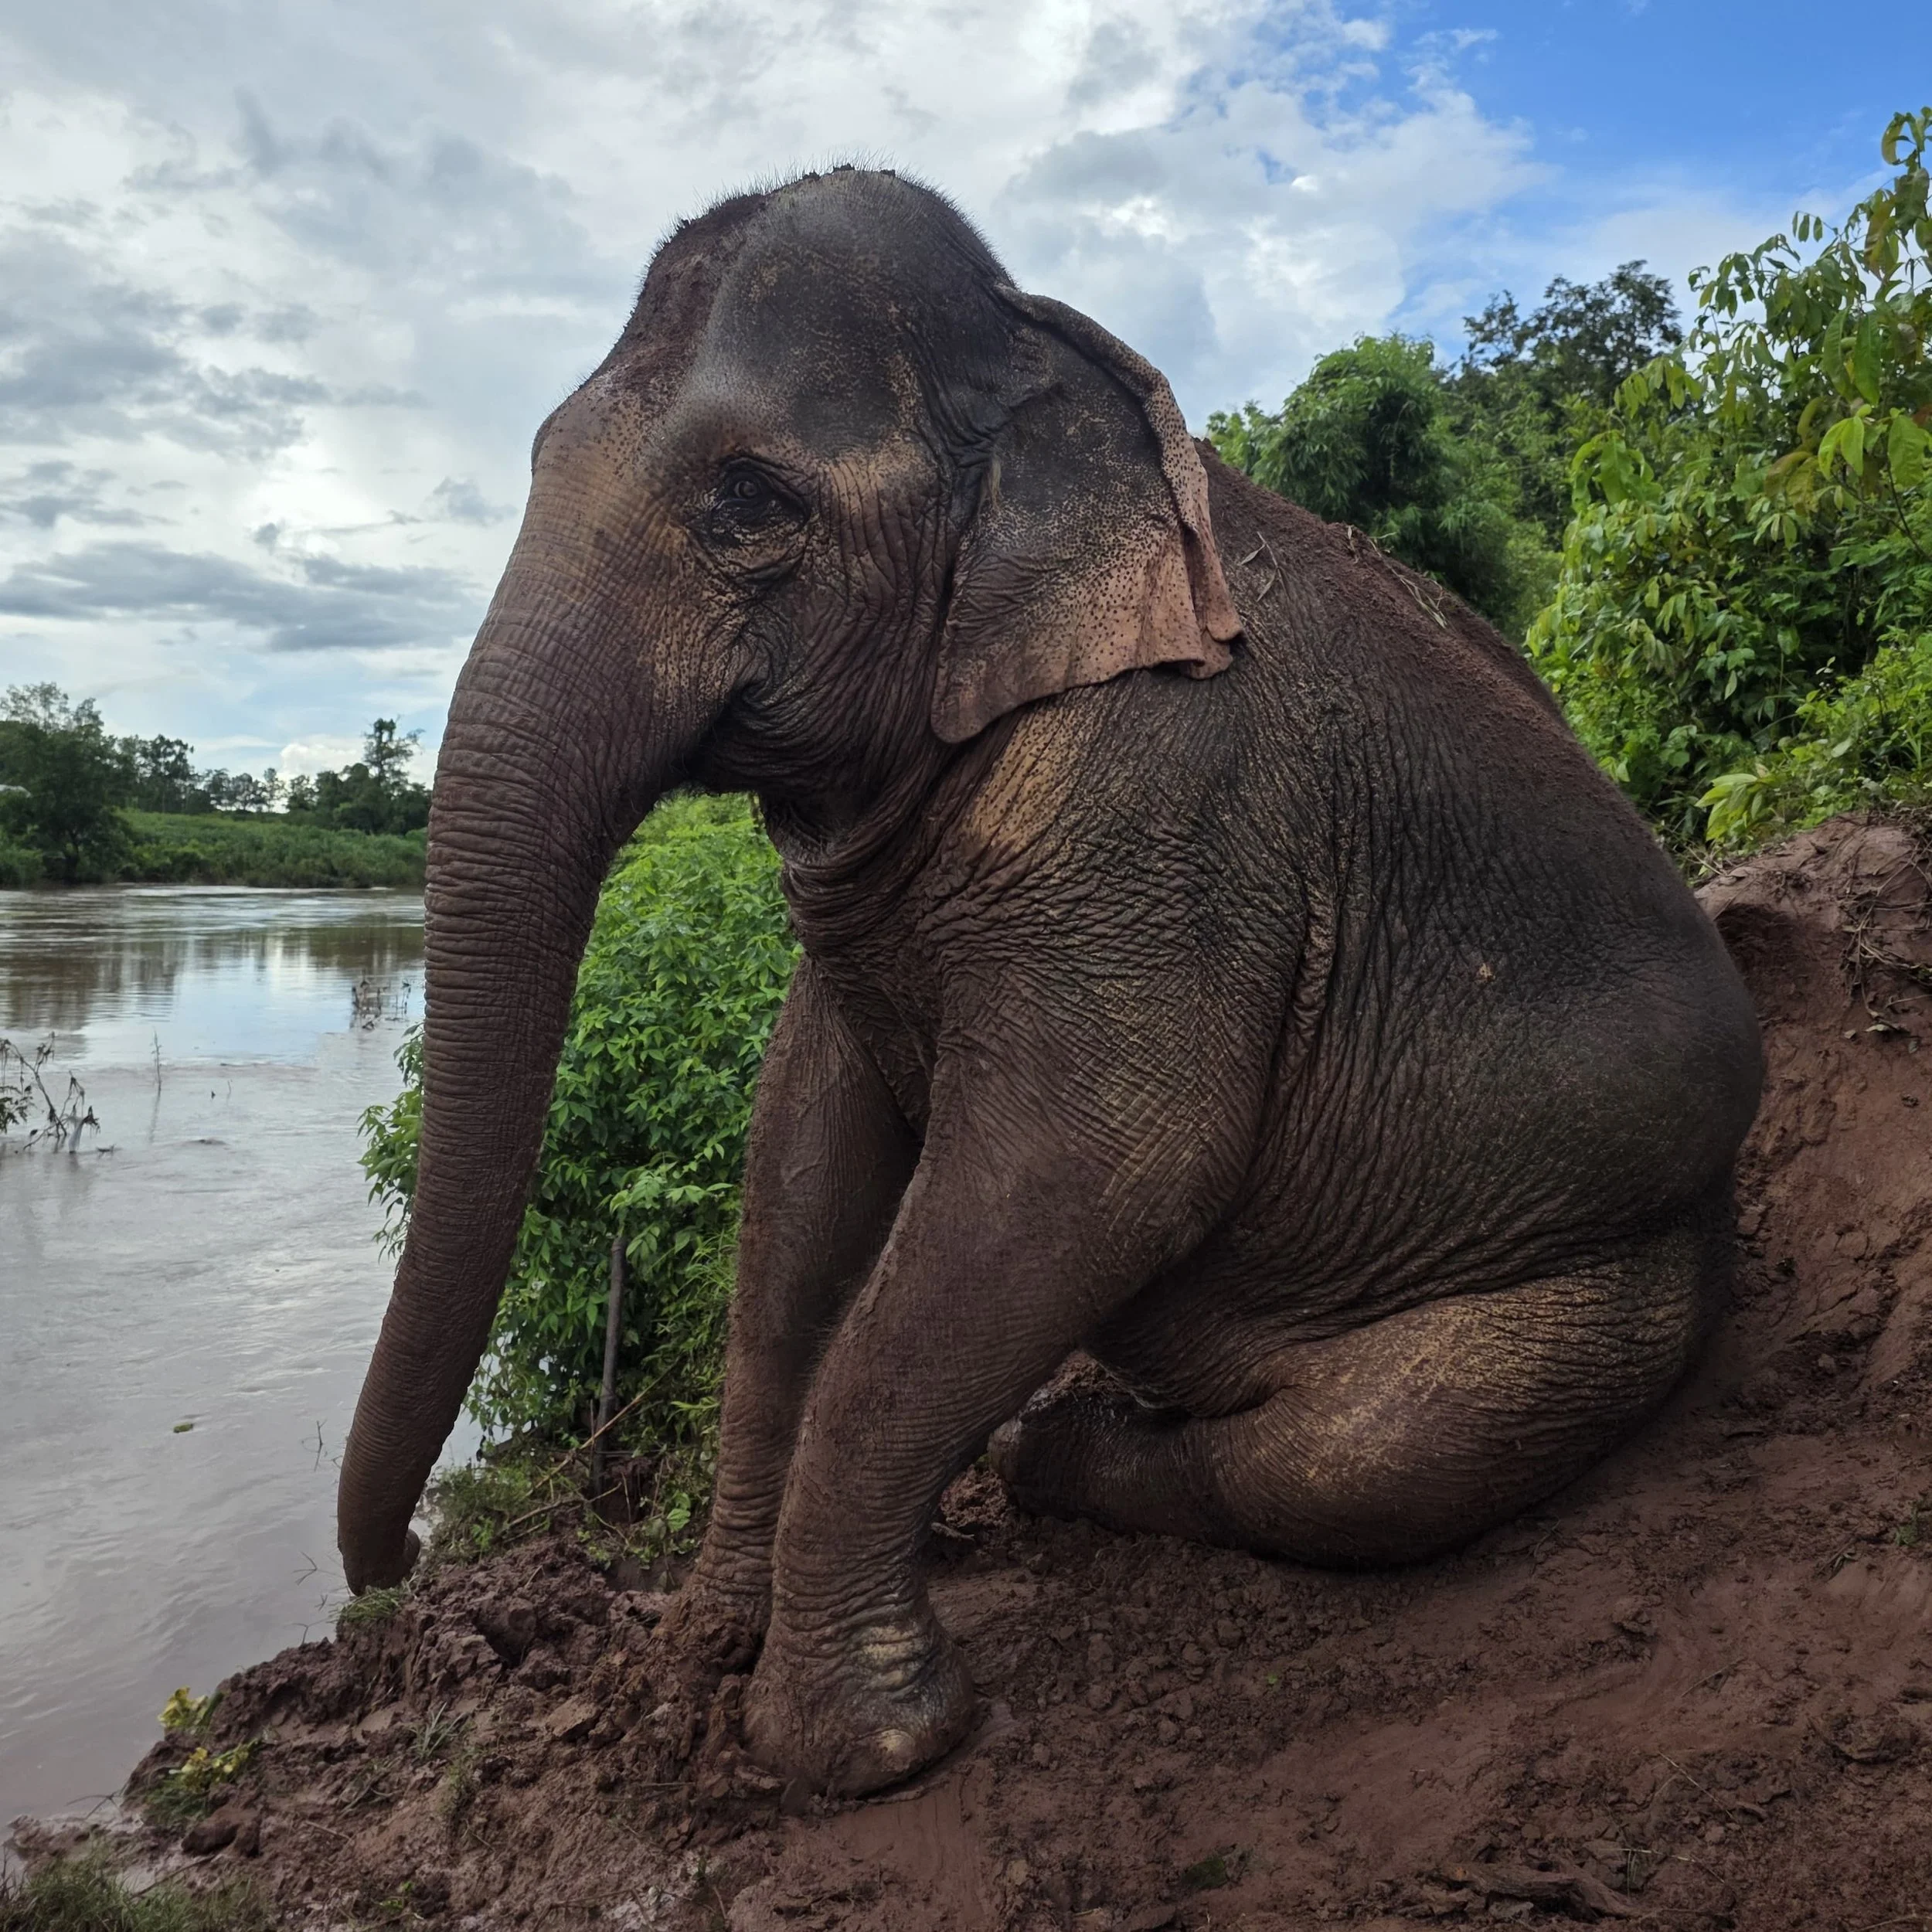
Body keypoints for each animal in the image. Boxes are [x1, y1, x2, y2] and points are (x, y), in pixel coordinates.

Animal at [335, 166, 1763, 1799]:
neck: (1043, 363)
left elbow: (1096, 1171)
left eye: (747, 503)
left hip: (1604, 1284)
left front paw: (862, 1751)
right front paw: (705, 1648)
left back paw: (1045, 1460)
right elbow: (802, 1157)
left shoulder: (1172, 803)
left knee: (1369, 1460)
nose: (398, 1569)